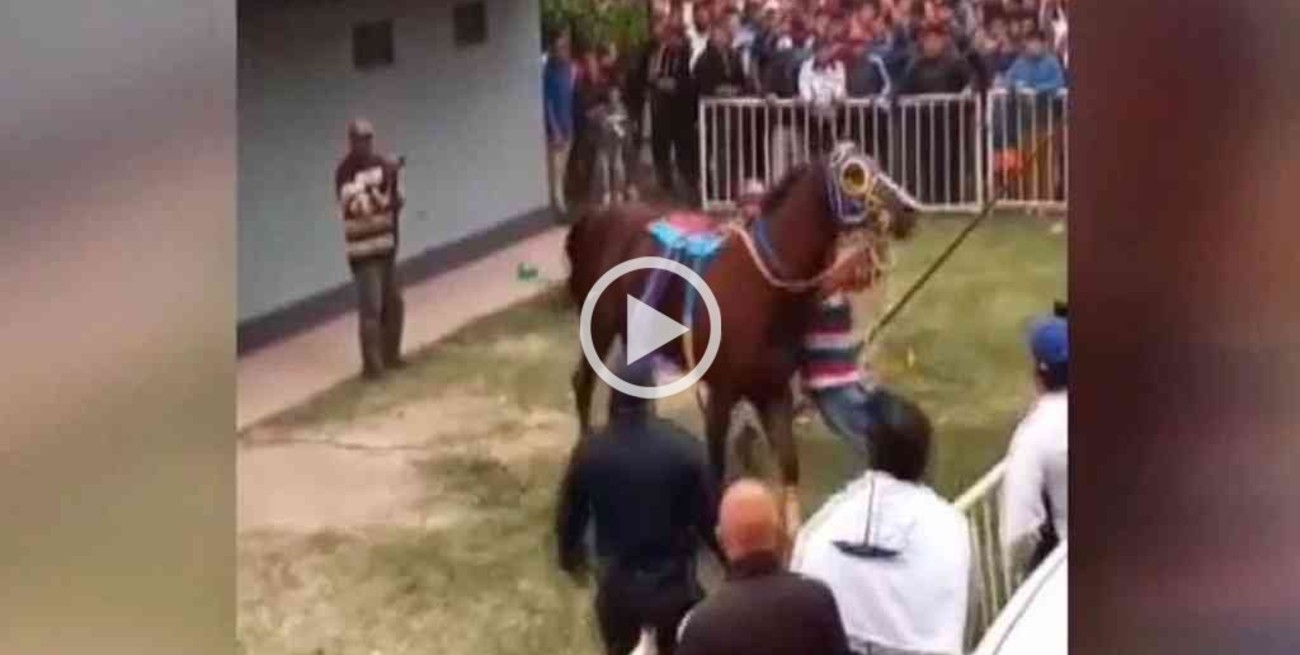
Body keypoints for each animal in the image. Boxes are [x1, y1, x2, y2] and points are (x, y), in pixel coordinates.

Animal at [564, 143, 920, 539]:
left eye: (876, 163)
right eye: (854, 174)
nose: (909, 210)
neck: (762, 284)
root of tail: (594, 216)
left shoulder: (774, 391)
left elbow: (789, 464)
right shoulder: (721, 394)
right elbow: (716, 473)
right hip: (599, 327)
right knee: (583, 384)